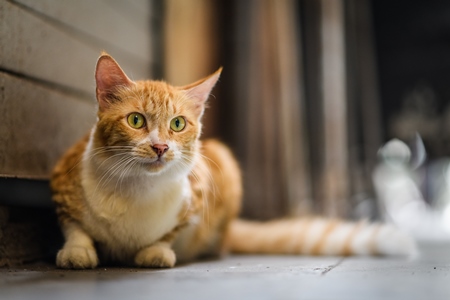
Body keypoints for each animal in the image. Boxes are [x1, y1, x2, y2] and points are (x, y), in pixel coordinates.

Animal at [51, 54, 416, 270]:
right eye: (136, 120)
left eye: (178, 124)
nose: (160, 147)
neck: (135, 189)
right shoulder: (61, 180)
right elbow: (74, 226)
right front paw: (77, 251)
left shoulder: (200, 195)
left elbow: (169, 234)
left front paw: (157, 251)